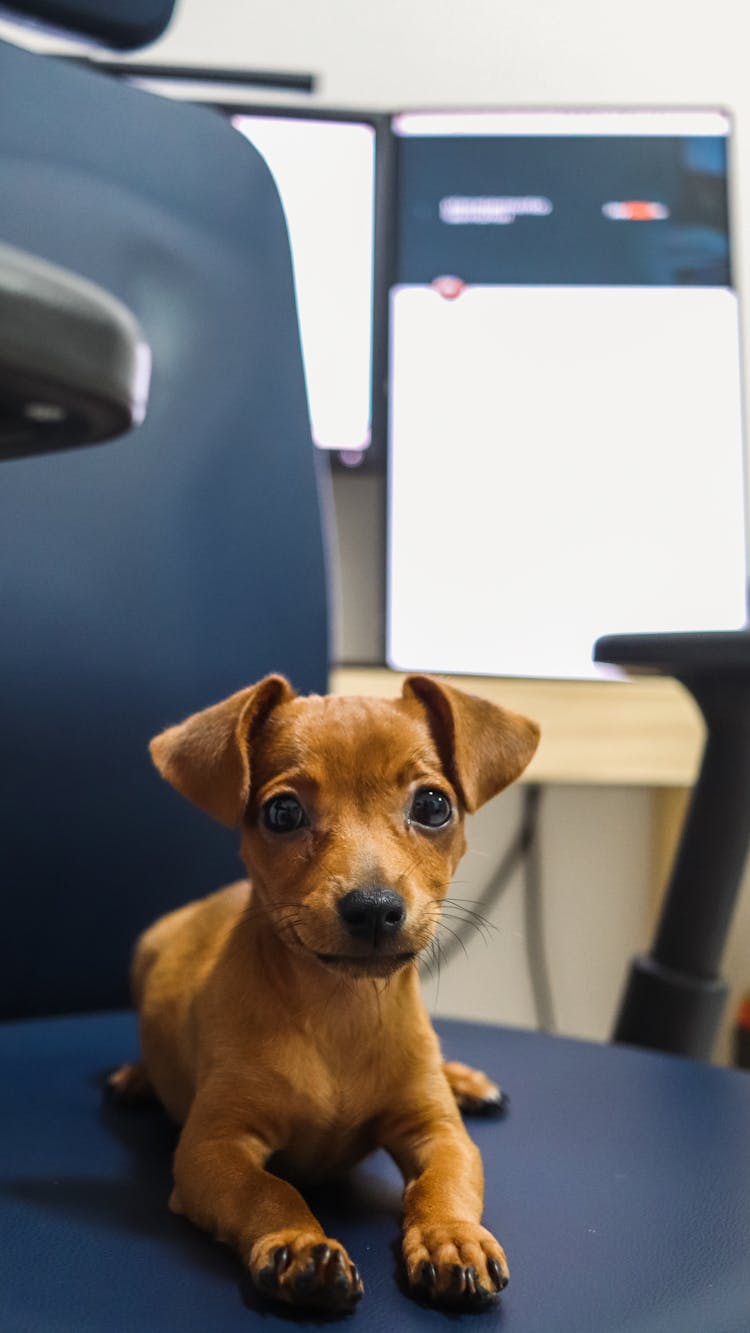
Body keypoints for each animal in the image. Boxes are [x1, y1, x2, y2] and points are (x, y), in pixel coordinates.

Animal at [111, 671, 540, 1317]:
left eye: (433, 805)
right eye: (283, 811)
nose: (374, 909)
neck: (341, 1010)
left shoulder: (439, 1134)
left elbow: (445, 1182)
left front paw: (452, 1237)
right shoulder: (212, 1150)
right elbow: (269, 1190)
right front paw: (297, 1245)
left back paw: (464, 1081)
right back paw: (138, 1077)